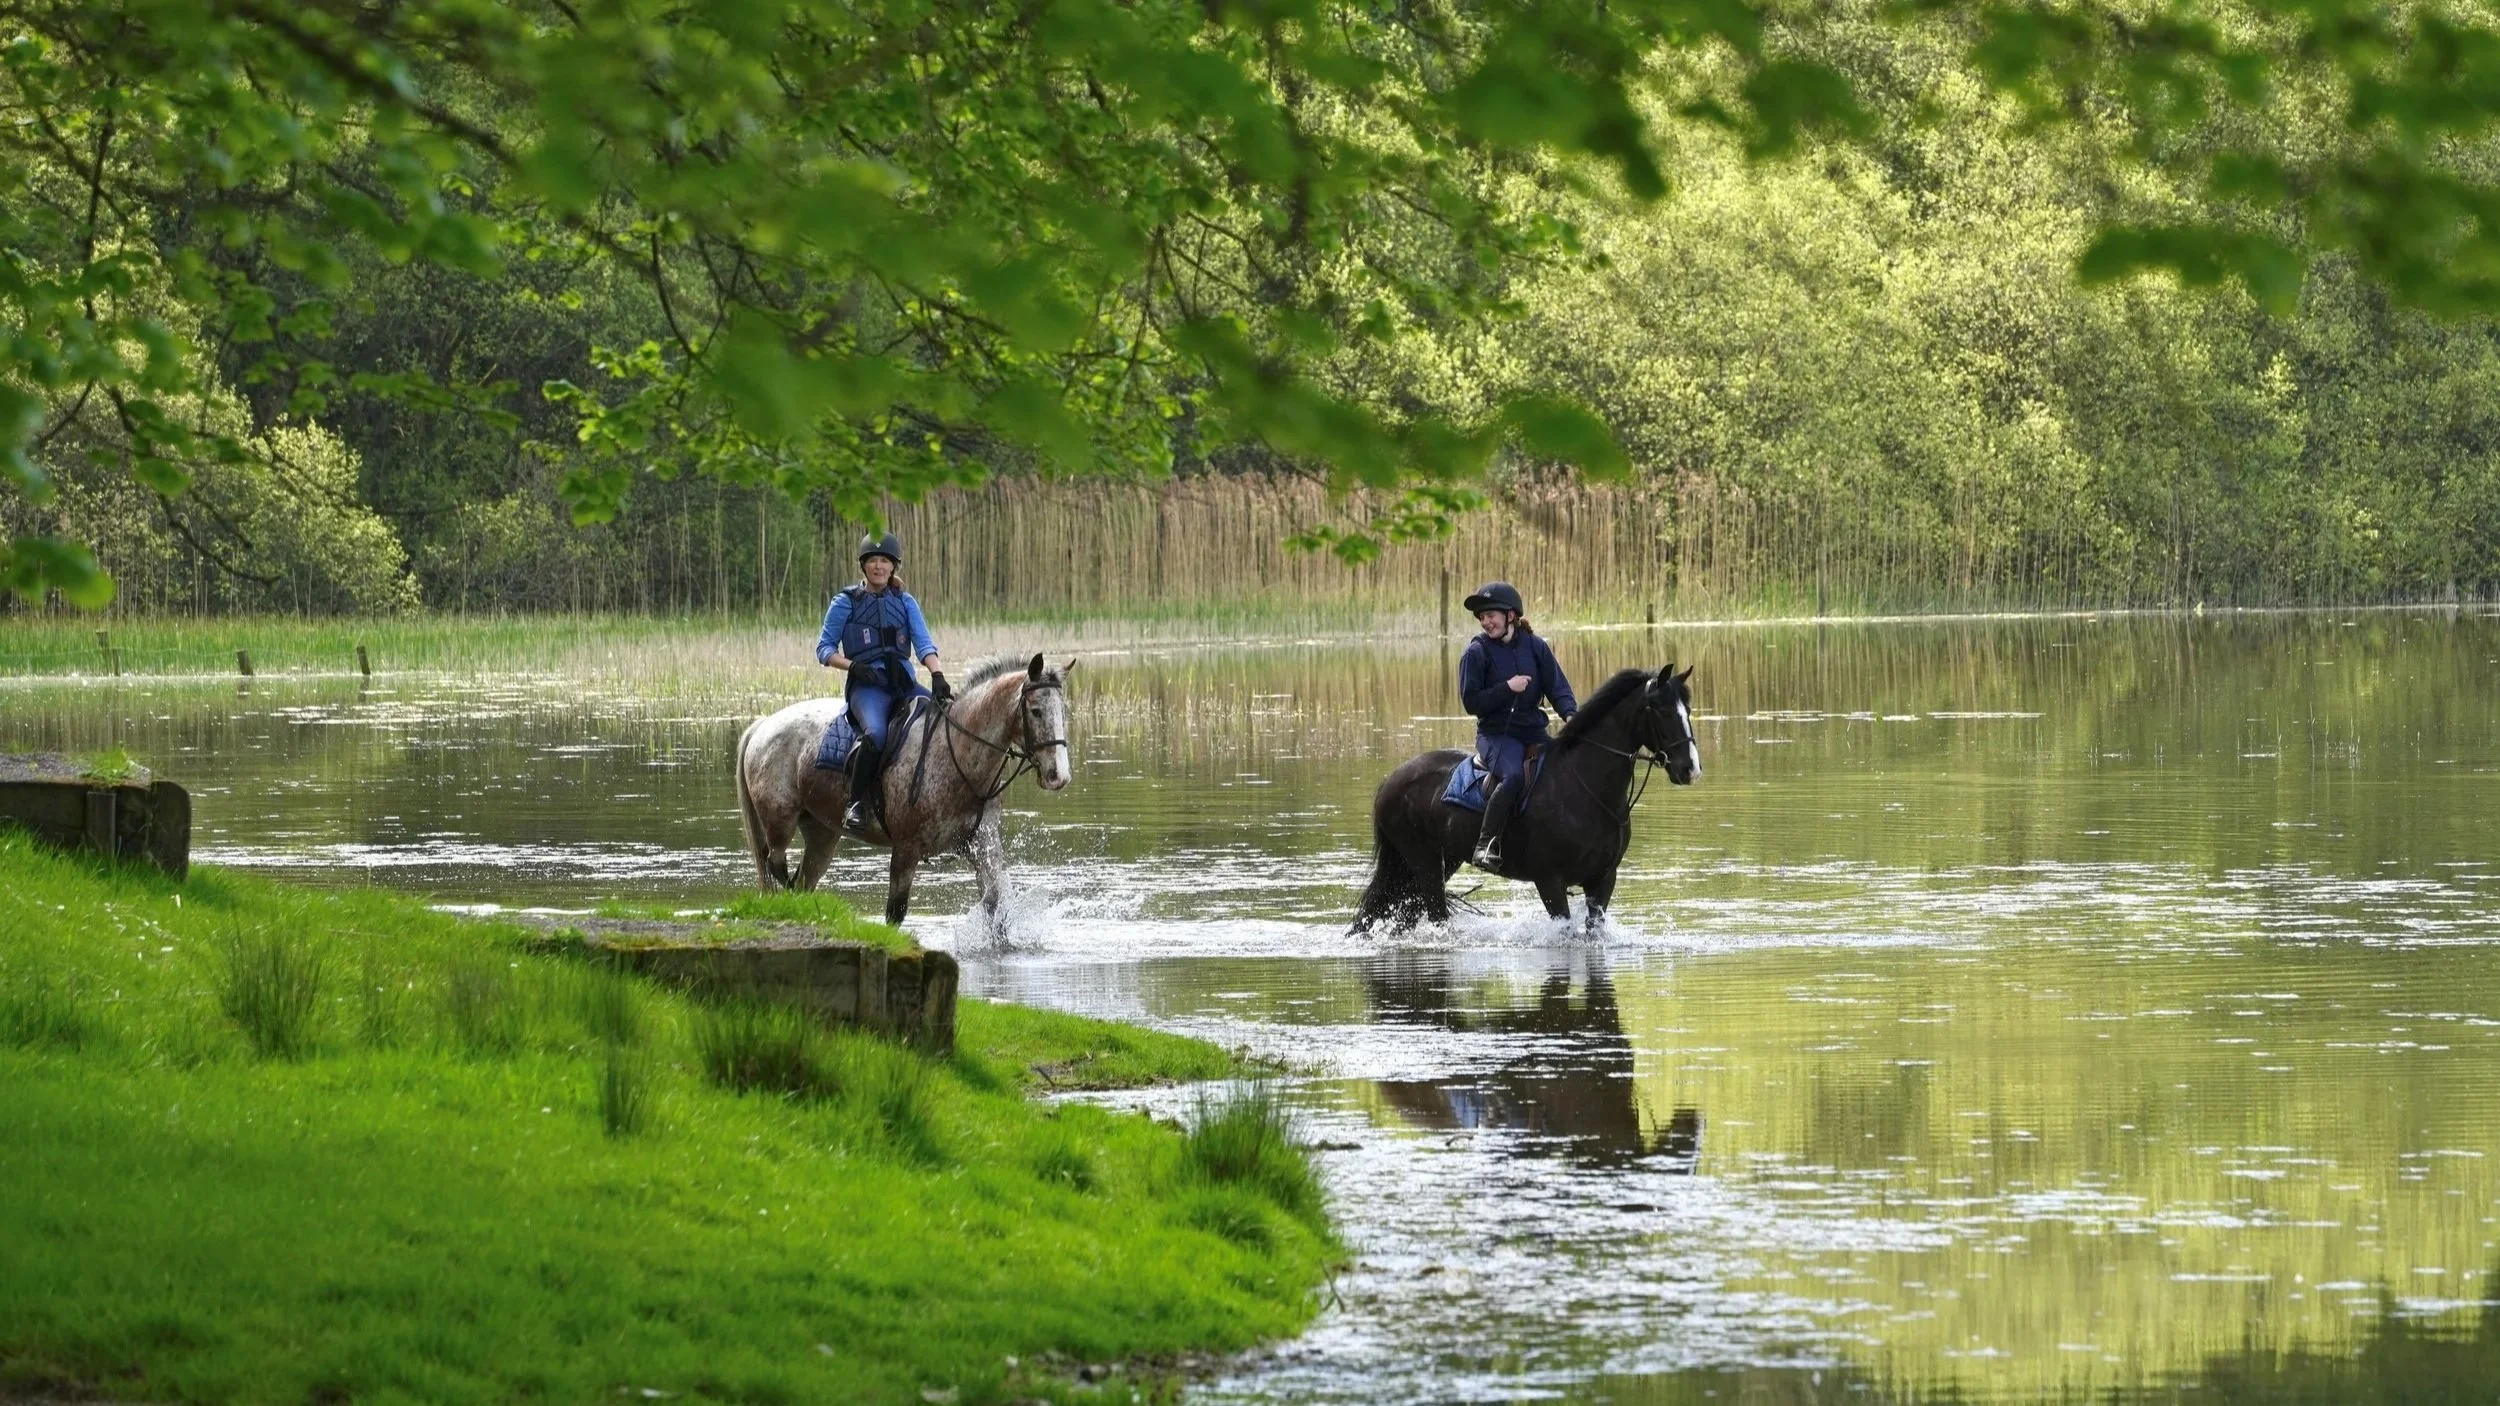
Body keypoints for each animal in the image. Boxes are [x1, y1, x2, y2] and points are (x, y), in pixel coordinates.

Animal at [735, 654, 1073, 926]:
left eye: (1064, 711)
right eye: (1035, 711)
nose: (1059, 776)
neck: (957, 754)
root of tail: (763, 724)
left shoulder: (983, 843)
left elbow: (995, 903)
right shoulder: (906, 850)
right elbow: (895, 913)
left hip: (822, 833)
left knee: (804, 878)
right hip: (780, 820)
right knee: (777, 864)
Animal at [1351, 664, 1699, 934]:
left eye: (1689, 711)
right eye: (1662, 711)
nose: (1690, 769)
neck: (1585, 787)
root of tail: (1390, 780)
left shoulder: (1602, 879)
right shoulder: (1549, 881)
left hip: (1437, 862)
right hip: (1422, 863)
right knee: (1434, 914)